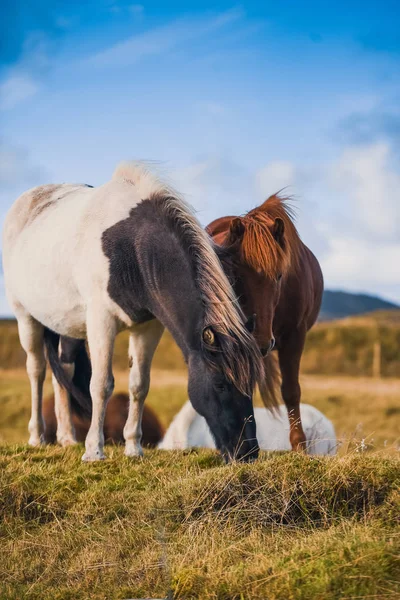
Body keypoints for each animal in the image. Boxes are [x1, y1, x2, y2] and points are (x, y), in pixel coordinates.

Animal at [3, 162, 266, 462]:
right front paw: (94, 450)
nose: (248, 452)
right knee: (36, 371)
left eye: (253, 386)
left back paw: (68, 438)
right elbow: (101, 385)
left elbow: (139, 385)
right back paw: (37, 437)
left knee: (64, 371)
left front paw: (133, 447)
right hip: (25, 317)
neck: (132, 248)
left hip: (68, 325)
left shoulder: (147, 327)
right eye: (221, 384)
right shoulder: (102, 322)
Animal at [208, 195, 324, 452]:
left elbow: (291, 391)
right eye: (236, 276)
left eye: (279, 276)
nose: (260, 341)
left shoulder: (295, 337)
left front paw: (299, 446)